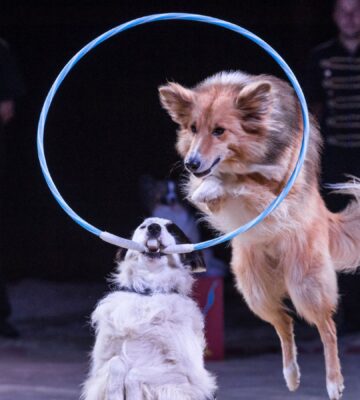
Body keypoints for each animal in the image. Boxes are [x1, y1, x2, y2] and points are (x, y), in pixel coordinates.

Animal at [82, 219, 217, 400]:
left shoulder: (189, 376)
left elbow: (134, 373)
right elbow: (116, 364)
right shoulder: (100, 368)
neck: (149, 293)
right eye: (143, 226)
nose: (154, 227)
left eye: (172, 229)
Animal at [158, 71, 360, 400]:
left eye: (219, 131)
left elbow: (245, 183)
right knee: (284, 321)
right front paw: (208, 188)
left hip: (306, 284)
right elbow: (219, 185)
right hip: (255, 290)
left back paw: (334, 383)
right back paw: (291, 375)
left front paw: (219, 183)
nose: (191, 163)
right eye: (193, 128)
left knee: (327, 328)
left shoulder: (279, 188)